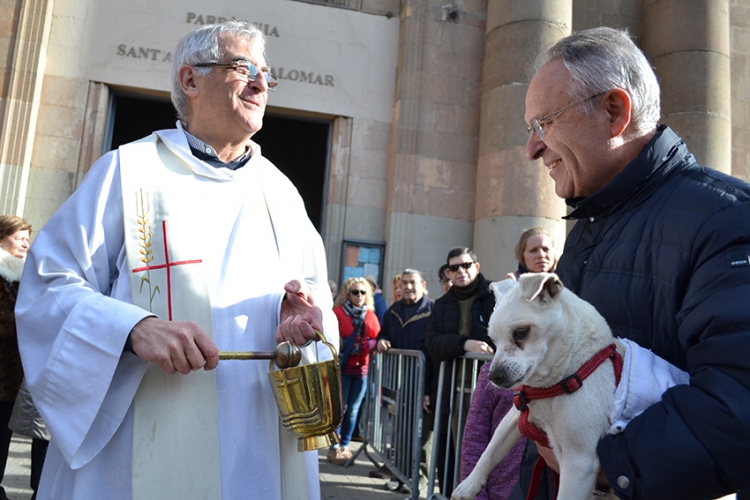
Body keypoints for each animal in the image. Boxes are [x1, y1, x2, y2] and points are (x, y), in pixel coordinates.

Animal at [452, 274, 688, 500]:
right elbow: (491, 450)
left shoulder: (579, 463)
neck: (554, 385)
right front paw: (469, 485)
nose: (493, 376)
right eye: (493, 340)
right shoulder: (516, 416)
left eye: (521, 332)